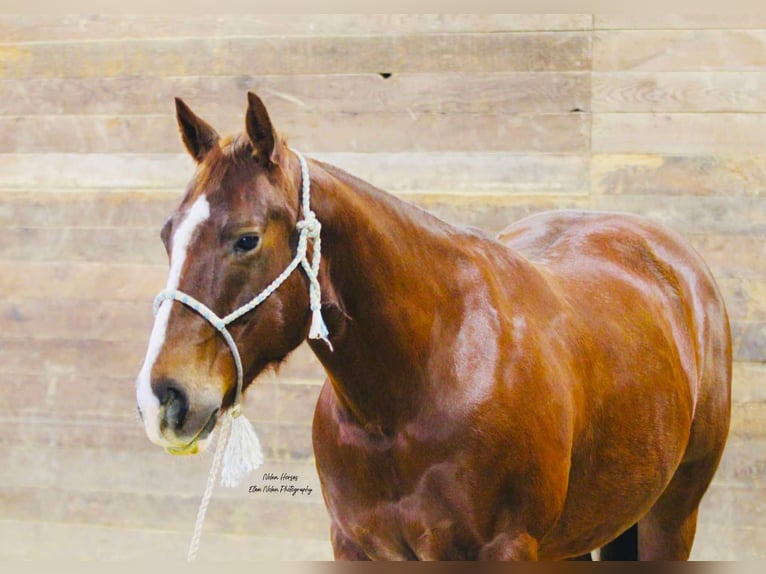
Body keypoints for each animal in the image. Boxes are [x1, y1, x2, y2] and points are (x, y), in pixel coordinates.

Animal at [135, 93, 736, 564]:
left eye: (247, 239)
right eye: (166, 234)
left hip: (671, 515)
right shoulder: (356, 547)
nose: (163, 397)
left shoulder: (504, 550)